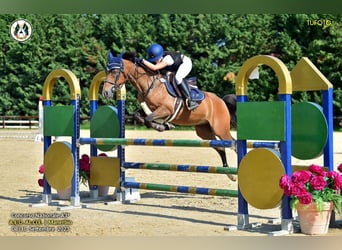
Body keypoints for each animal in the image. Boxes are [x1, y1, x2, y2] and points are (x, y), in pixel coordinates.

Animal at [103, 51, 238, 180]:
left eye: (115, 72)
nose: (105, 93)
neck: (149, 84)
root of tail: (221, 101)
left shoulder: (166, 109)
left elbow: (148, 119)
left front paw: (162, 126)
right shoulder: (150, 109)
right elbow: (138, 116)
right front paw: (165, 125)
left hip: (220, 129)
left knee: (233, 143)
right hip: (204, 131)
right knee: (221, 147)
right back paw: (229, 173)